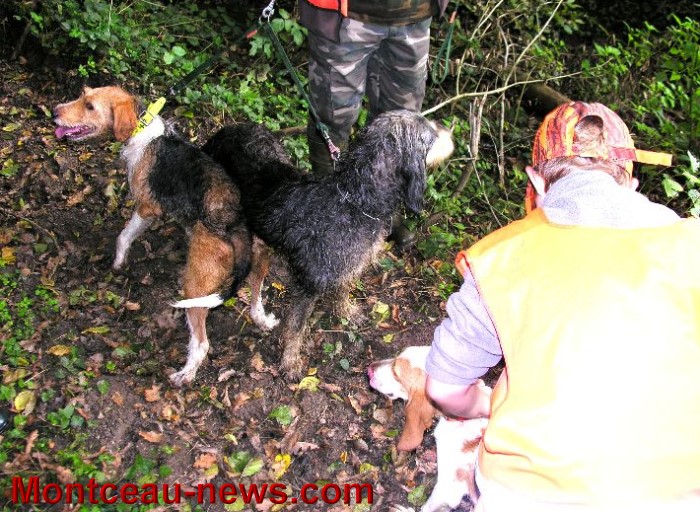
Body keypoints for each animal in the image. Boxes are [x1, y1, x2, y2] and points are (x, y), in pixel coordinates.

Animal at [53, 86, 253, 386]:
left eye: (90, 106)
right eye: (82, 94)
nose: (54, 112)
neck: (141, 128)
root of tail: (234, 223)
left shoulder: (147, 208)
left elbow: (123, 237)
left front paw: (117, 264)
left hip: (195, 285)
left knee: (202, 342)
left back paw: (184, 374)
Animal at [202, 111, 454, 378]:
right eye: (429, 132)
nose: (451, 132)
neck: (355, 201)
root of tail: (228, 129)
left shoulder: (347, 265)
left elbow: (343, 290)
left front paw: (346, 312)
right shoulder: (309, 285)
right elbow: (296, 326)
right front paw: (290, 361)